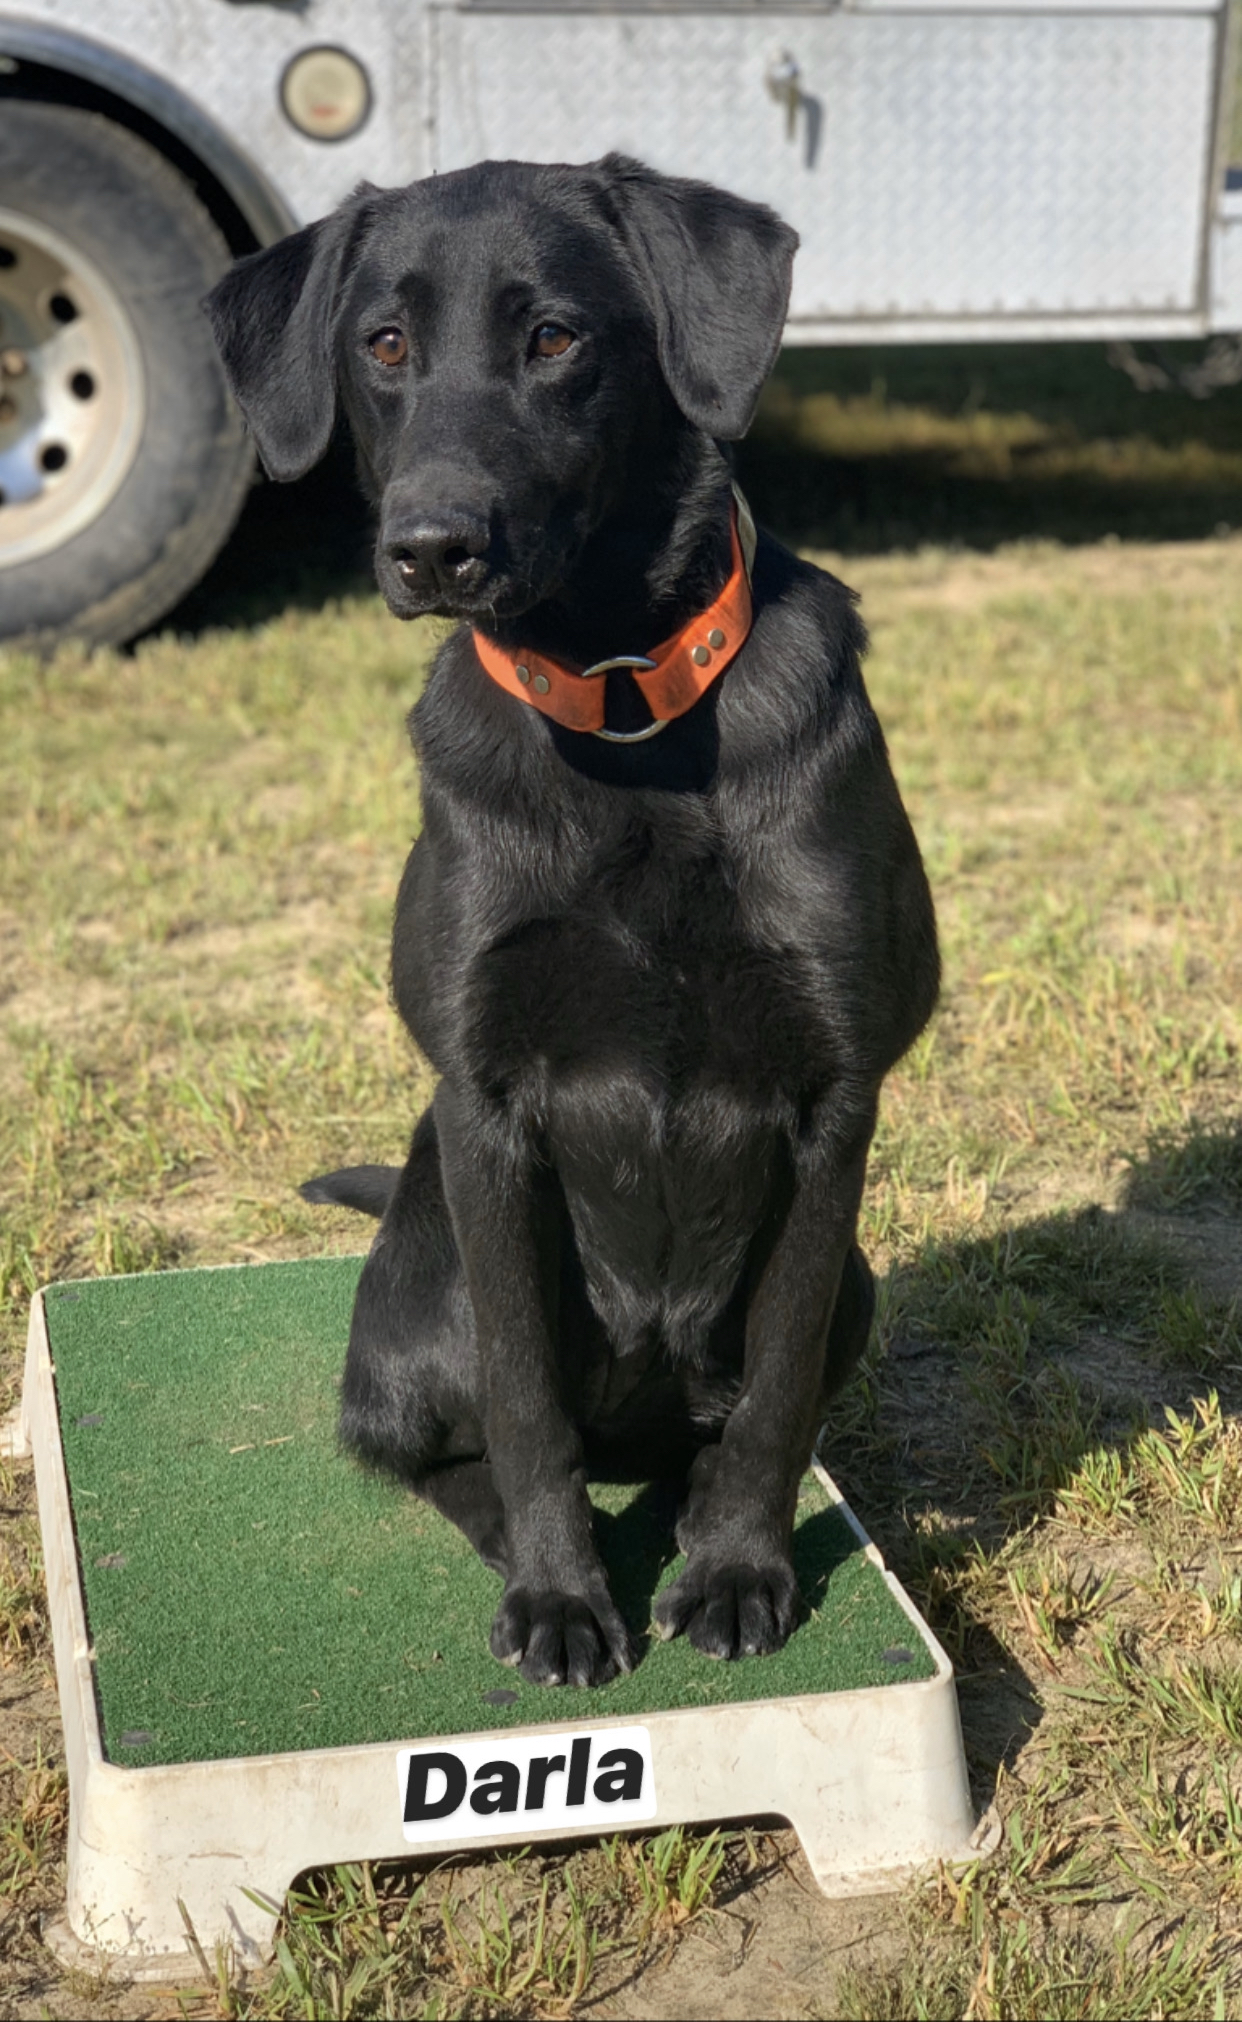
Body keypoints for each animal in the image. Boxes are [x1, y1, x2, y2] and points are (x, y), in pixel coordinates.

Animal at [207, 161, 942, 1690]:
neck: (622, 714)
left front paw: (735, 1569)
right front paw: (560, 1593)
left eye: (554, 337)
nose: (431, 546)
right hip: (429, 1282)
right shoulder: (487, 1105)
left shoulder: (835, 1100)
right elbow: (525, 1405)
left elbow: (776, 1393)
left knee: (716, 1425)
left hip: (854, 1280)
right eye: (383, 345)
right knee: (437, 1444)